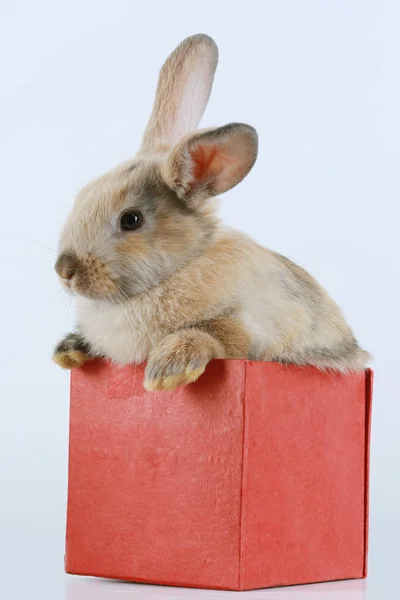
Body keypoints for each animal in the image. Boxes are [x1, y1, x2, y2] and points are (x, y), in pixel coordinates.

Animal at [51, 32, 370, 392]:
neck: (181, 266)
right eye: (81, 196)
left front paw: (168, 371)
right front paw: (69, 350)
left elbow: (214, 334)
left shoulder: (244, 325)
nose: (64, 270)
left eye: (131, 219)